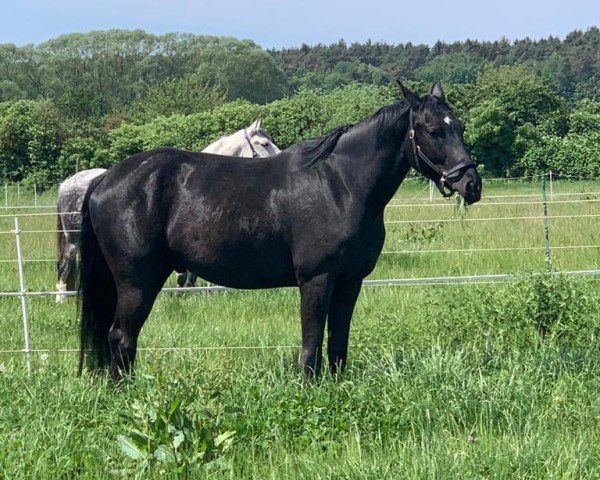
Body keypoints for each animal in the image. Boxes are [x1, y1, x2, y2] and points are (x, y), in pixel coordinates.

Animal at [79, 83, 482, 382]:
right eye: (434, 130)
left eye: (460, 127)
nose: (472, 184)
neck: (341, 185)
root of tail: (105, 179)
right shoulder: (316, 280)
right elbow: (311, 342)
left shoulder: (349, 282)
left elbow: (338, 342)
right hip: (137, 283)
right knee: (121, 337)